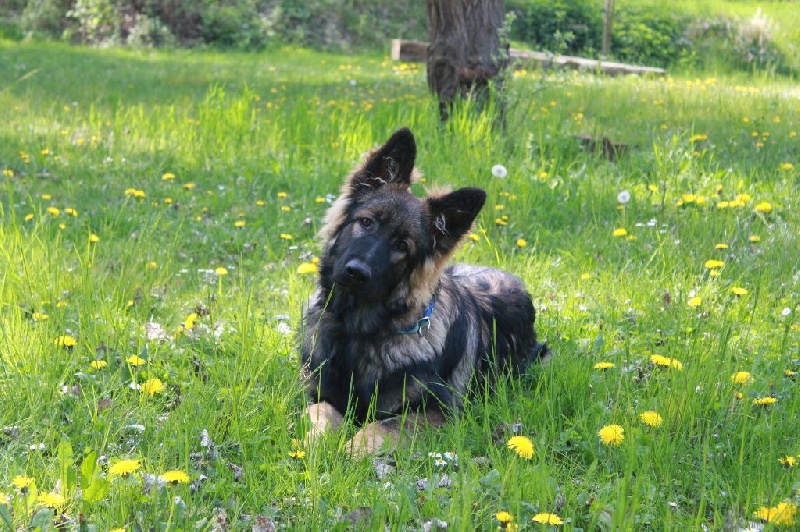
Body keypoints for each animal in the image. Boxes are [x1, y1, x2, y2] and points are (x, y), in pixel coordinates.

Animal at [301, 128, 547, 455]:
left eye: (402, 246)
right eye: (366, 222)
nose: (357, 272)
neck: (359, 333)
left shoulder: (439, 413)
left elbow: (378, 427)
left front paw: (348, 451)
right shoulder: (317, 394)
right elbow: (320, 414)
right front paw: (315, 444)